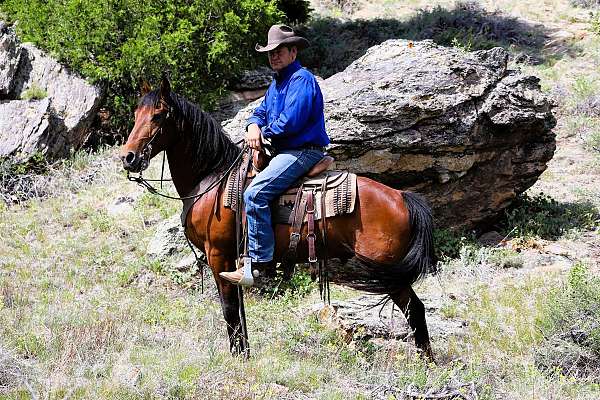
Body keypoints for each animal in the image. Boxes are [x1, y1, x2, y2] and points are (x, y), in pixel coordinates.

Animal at [119, 77, 436, 360]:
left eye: (158, 115)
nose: (128, 157)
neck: (212, 179)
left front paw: (237, 358)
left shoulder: (218, 255)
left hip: (389, 272)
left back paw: (426, 365)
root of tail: (401, 197)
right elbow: (239, 310)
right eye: (136, 115)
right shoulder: (233, 259)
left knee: (415, 309)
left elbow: (229, 309)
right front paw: (245, 353)